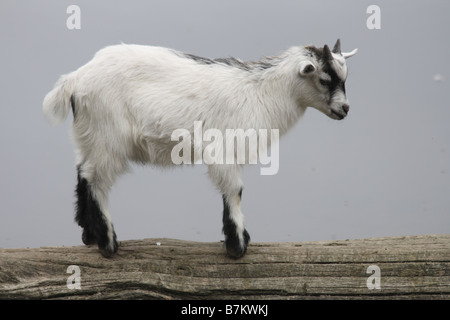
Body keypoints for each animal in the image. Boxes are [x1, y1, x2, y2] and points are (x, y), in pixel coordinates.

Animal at [43, 39, 358, 258]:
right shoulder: (225, 149)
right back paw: (108, 243)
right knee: (97, 180)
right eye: (324, 79)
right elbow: (235, 191)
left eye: (345, 79)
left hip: (89, 135)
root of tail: (75, 79)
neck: (261, 92)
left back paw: (90, 235)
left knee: (83, 172)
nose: (344, 109)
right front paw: (237, 246)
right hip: (108, 137)